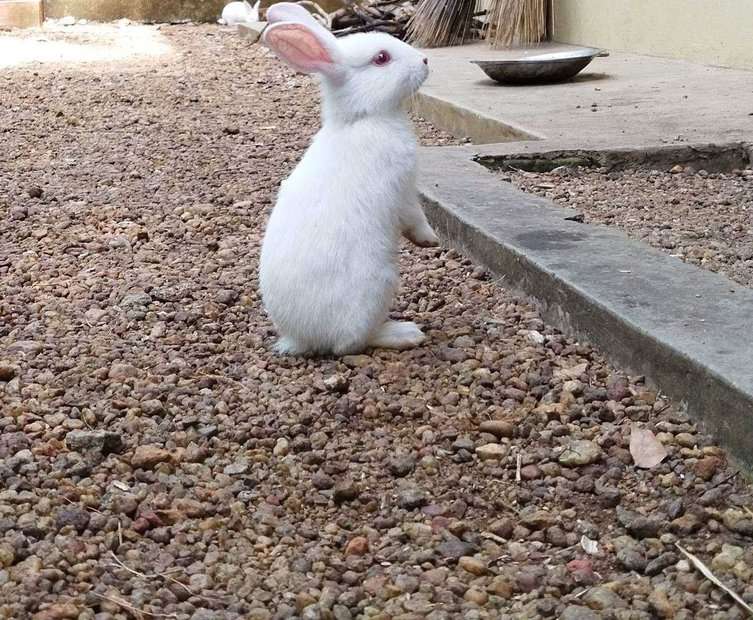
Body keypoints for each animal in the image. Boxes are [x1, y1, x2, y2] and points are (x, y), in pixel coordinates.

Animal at [258, 2, 440, 357]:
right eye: (381, 58)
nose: (425, 60)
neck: (362, 118)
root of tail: (299, 338)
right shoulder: (403, 189)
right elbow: (415, 218)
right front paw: (431, 240)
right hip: (379, 286)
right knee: (350, 344)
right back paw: (404, 333)